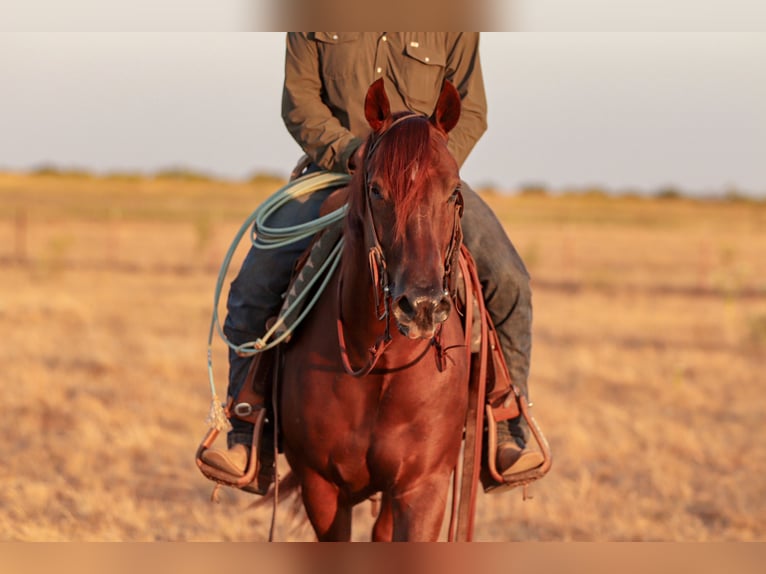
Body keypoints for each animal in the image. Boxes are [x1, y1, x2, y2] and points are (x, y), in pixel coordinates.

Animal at [278, 78, 471, 541]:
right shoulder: (321, 487)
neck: (383, 367)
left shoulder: (423, 488)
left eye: (454, 191)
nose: (421, 306)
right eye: (376, 190)